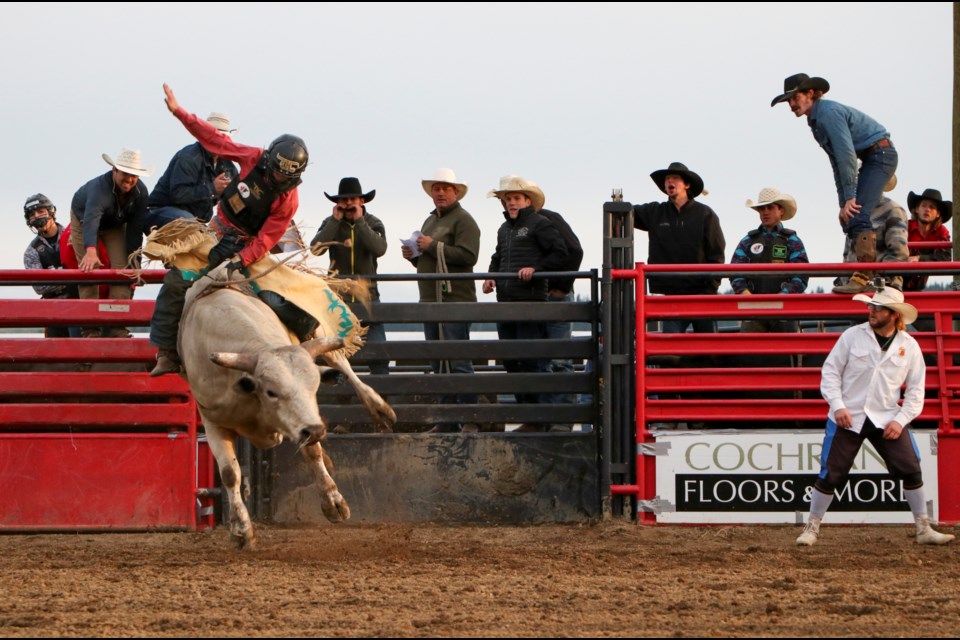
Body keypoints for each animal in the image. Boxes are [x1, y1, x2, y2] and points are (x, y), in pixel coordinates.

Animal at [180, 272, 394, 552]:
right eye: (271, 391)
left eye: (314, 387)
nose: (317, 430)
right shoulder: (213, 421)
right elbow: (230, 474)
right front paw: (242, 530)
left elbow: (312, 452)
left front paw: (334, 503)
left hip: (319, 333)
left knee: (339, 361)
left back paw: (379, 408)